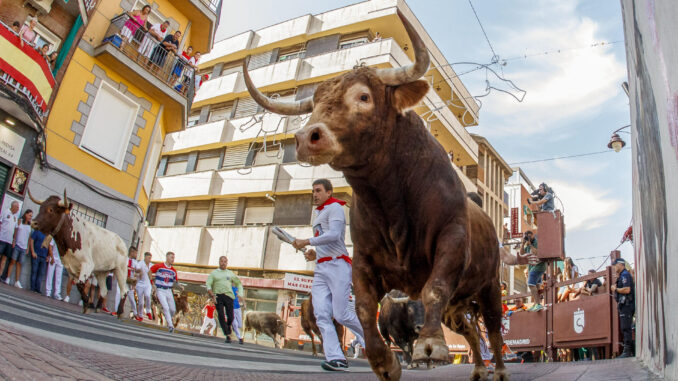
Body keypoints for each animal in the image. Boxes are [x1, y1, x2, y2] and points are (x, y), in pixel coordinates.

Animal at [242, 11, 508, 380]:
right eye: (316, 104)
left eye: (364, 97)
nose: (307, 137)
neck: (391, 201)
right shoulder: (365, 257)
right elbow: (365, 309)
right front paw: (383, 362)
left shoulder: (452, 241)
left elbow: (434, 288)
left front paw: (430, 345)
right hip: (457, 305)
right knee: (468, 329)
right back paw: (479, 369)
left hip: (489, 286)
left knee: (494, 329)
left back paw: (498, 370)